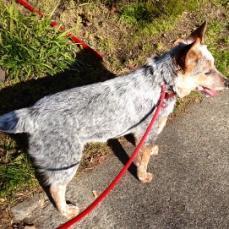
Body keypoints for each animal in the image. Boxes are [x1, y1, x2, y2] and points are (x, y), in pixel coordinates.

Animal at [0, 21, 226, 218]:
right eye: (207, 72)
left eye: (215, 65)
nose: (227, 82)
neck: (161, 82)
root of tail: (32, 112)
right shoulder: (149, 129)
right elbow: (143, 161)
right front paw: (143, 176)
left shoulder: (141, 131)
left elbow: (141, 147)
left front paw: (149, 152)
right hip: (67, 161)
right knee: (56, 188)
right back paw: (66, 211)